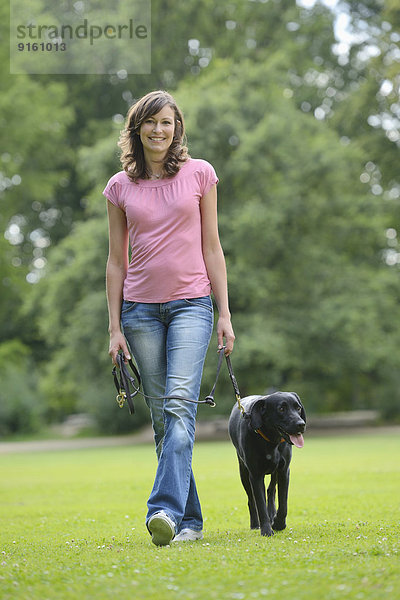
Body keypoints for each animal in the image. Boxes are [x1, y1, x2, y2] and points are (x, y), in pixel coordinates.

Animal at [228, 392, 306, 536]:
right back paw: (255, 524)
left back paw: (272, 514)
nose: (301, 424)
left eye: (298, 408)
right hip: (243, 473)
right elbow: (260, 503)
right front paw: (266, 530)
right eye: (281, 409)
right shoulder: (255, 475)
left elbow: (283, 503)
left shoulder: (284, 471)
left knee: (271, 492)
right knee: (251, 500)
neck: (271, 441)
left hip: (274, 472)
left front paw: (279, 523)